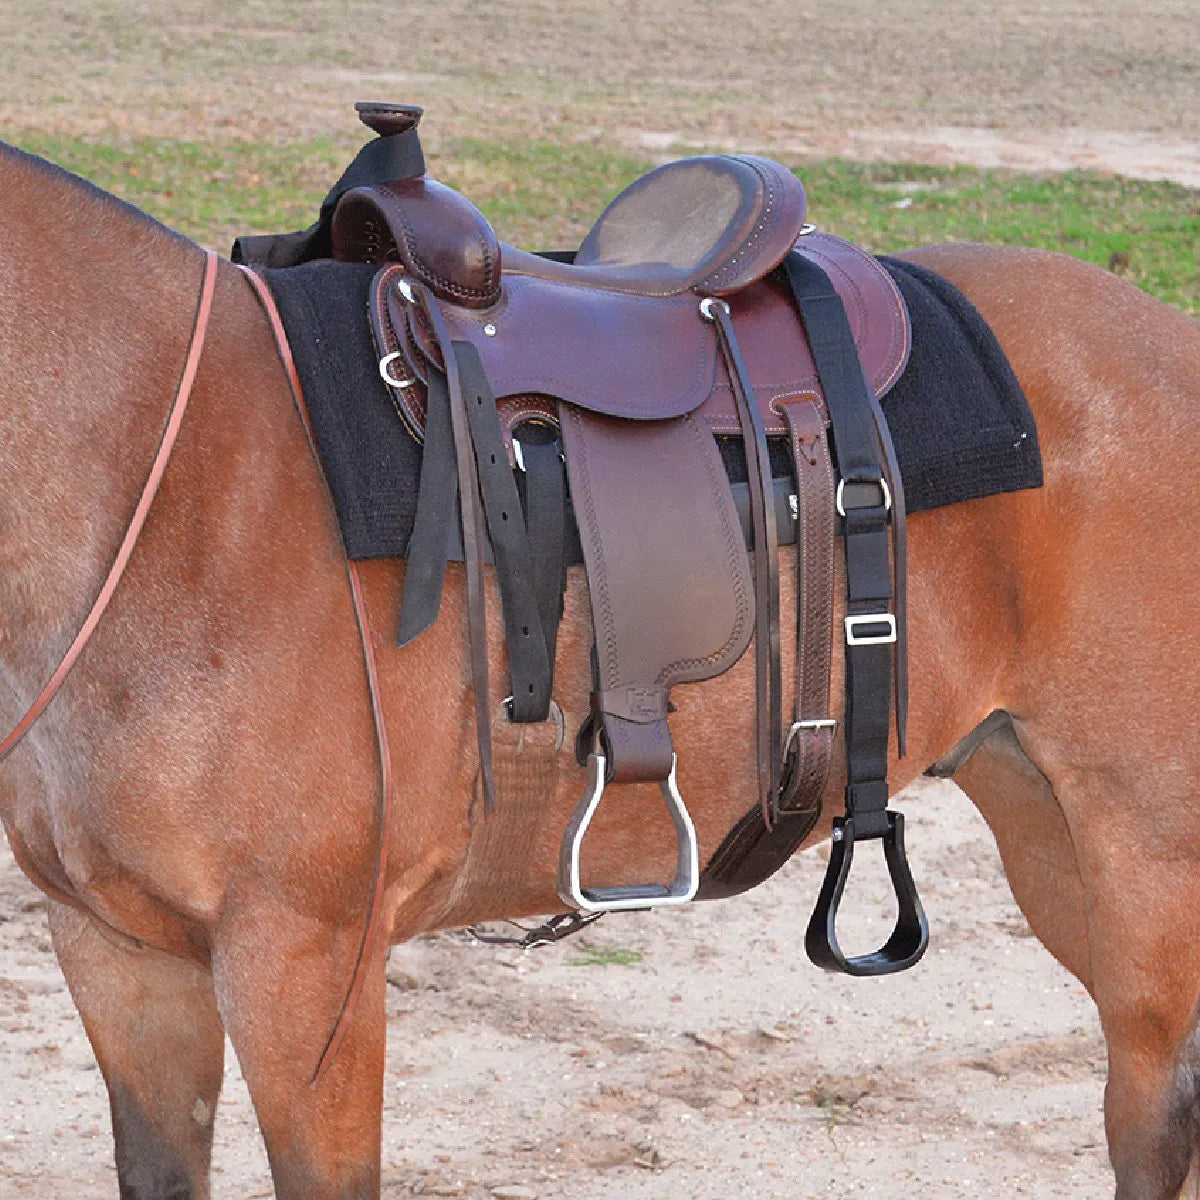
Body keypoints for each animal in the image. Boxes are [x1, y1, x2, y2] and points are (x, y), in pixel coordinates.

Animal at [0, 138, 1197, 1200]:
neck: (169, 480)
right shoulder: (117, 953)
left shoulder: (304, 965)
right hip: (1043, 823)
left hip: (1145, 854)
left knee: (1156, 1118)